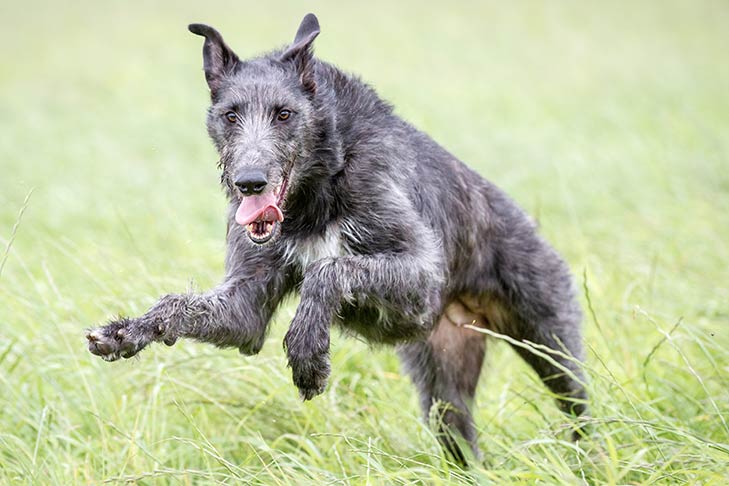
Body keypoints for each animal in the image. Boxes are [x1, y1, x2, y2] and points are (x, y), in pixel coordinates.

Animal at [86, 12, 584, 464]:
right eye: (230, 115)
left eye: (284, 114)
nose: (249, 182)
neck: (317, 190)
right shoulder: (246, 303)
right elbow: (186, 307)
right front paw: (126, 331)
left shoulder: (423, 277)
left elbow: (328, 269)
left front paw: (308, 354)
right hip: (443, 384)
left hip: (550, 337)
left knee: (577, 405)